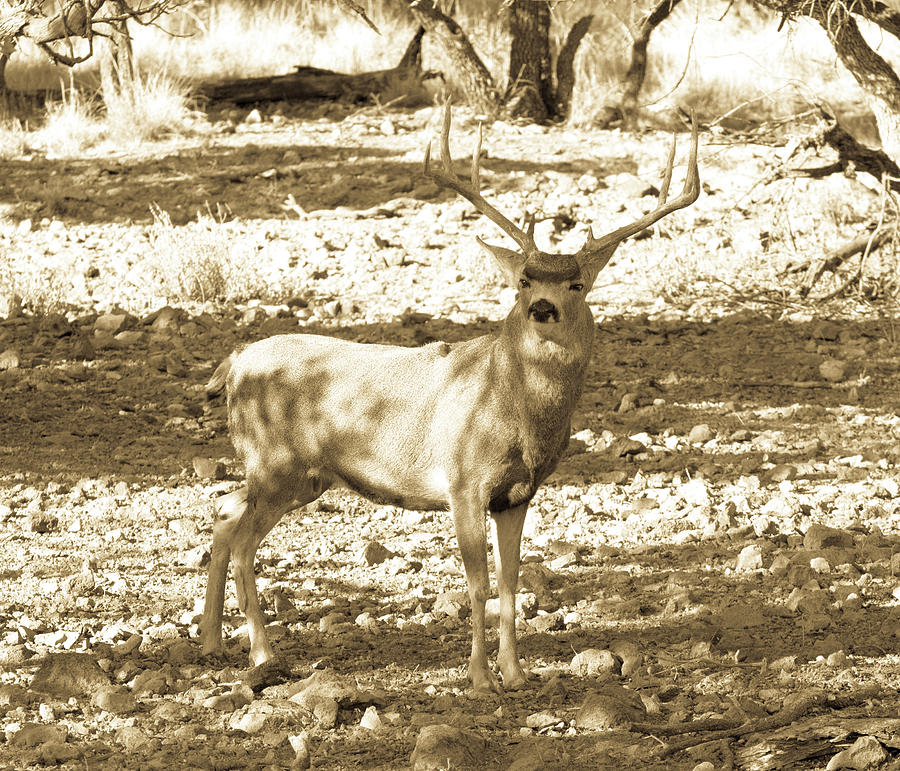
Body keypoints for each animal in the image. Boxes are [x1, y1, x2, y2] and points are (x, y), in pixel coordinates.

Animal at [200, 102, 700, 692]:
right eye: (524, 281)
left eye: (576, 284)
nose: (543, 308)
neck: (515, 410)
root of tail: (234, 363)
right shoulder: (464, 480)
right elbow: (478, 585)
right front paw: (481, 678)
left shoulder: (517, 494)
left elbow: (511, 583)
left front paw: (516, 673)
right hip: (275, 462)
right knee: (244, 542)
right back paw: (260, 654)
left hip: (296, 475)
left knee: (224, 511)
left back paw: (211, 642)